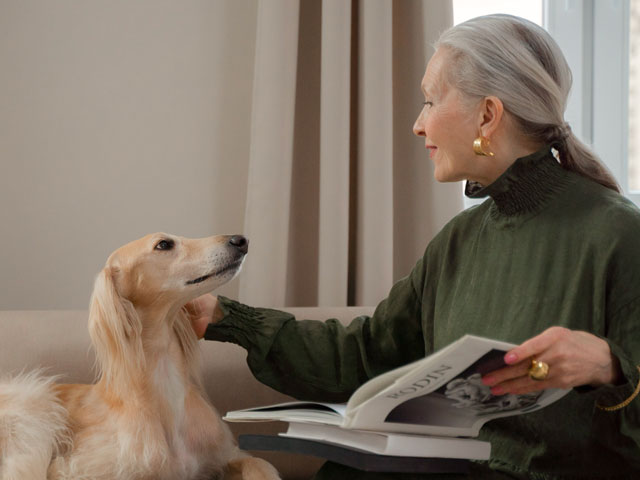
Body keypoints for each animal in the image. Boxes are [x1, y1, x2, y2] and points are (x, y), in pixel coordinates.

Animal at [0, 233, 280, 480]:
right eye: (164, 244)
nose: (241, 240)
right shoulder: (72, 468)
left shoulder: (224, 456)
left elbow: (260, 463)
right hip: (33, 410)